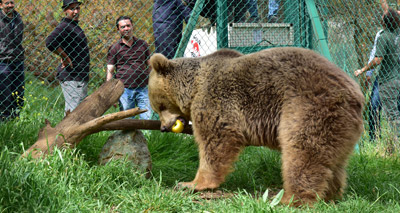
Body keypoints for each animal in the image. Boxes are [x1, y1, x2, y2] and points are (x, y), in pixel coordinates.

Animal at [148, 47, 366, 206]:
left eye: (160, 105)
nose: (163, 128)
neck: (193, 88)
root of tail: (356, 93)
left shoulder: (217, 101)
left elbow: (216, 142)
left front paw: (191, 183)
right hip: (340, 126)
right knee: (333, 163)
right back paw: (331, 196)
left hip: (308, 107)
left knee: (302, 153)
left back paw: (289, 199)